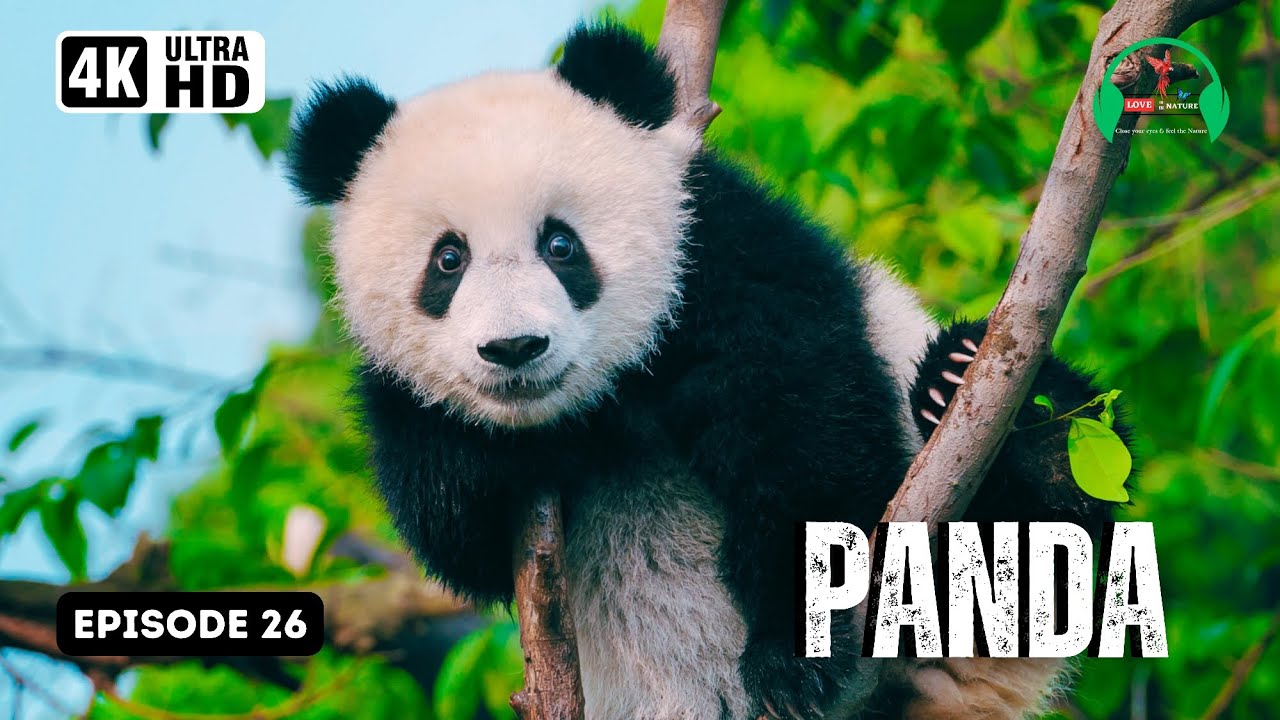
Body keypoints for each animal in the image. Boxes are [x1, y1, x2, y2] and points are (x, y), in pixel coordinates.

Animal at [286, 22, 1127, 720]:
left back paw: (999, 411)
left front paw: (791, 655)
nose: (516, 349)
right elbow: (455, 527)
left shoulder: (719, 254)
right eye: (447, 260)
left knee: (1045, 528)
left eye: (561, 244)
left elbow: (801, 431)